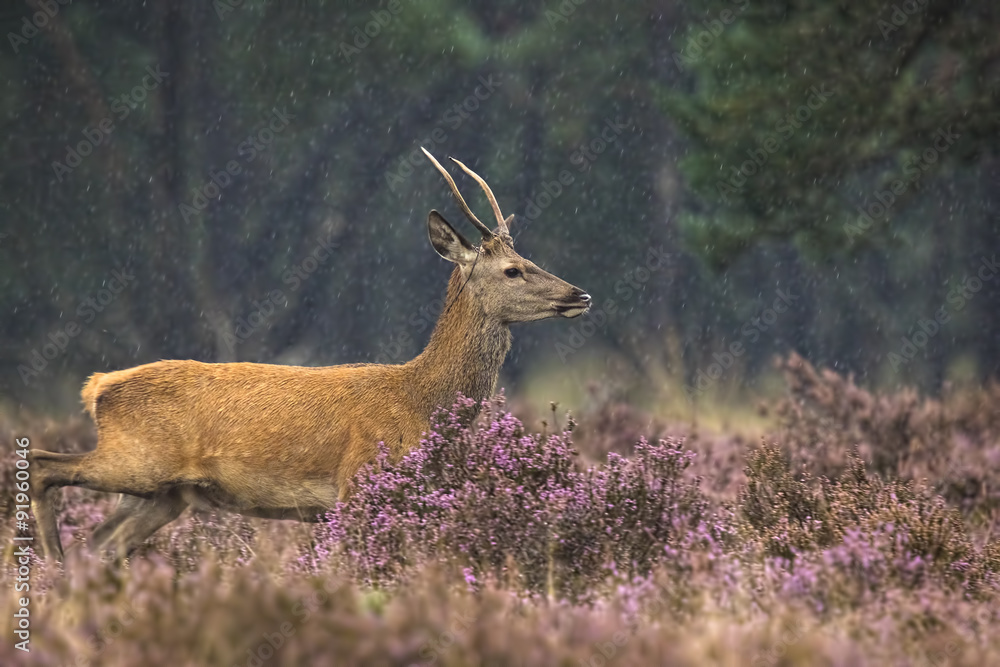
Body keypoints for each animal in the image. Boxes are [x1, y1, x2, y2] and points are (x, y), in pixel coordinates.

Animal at [29, 148, 591, 561]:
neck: (420, 400)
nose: (580, 294)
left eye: (526, 258)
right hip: (136, 458)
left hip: (163, 492)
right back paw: (49, 565)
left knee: (99, 544)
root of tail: (98, 387)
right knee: (41, 465)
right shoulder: (358, 479)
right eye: (512, 270)